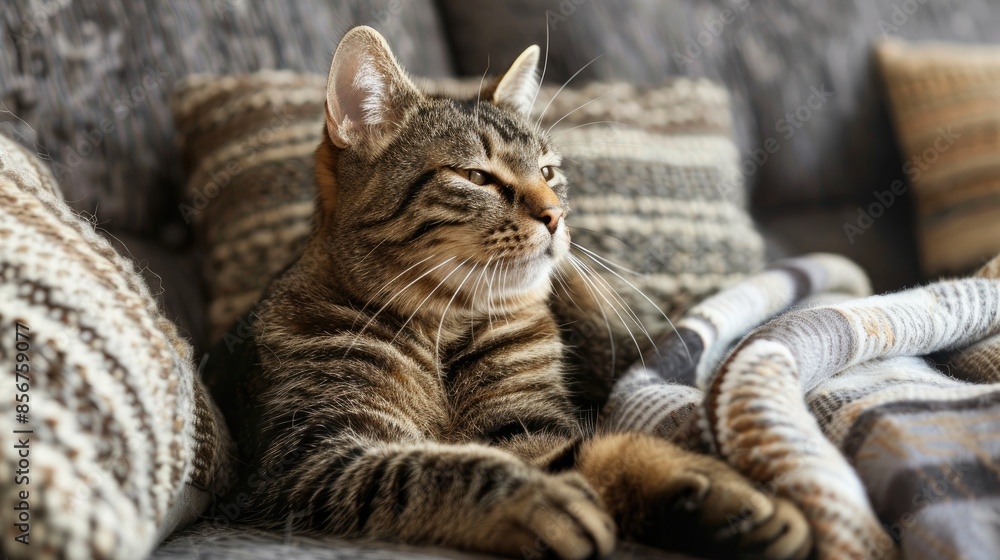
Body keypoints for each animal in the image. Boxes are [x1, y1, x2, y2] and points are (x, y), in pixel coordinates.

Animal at [217, 26, 812, 560]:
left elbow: (595, 451)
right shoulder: (310, 458)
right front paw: (534, 496)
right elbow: (432, 467)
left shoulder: (525, 423)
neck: (444, 327)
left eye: (548, 172)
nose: (556, 215)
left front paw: (714, 491)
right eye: (477, 177)